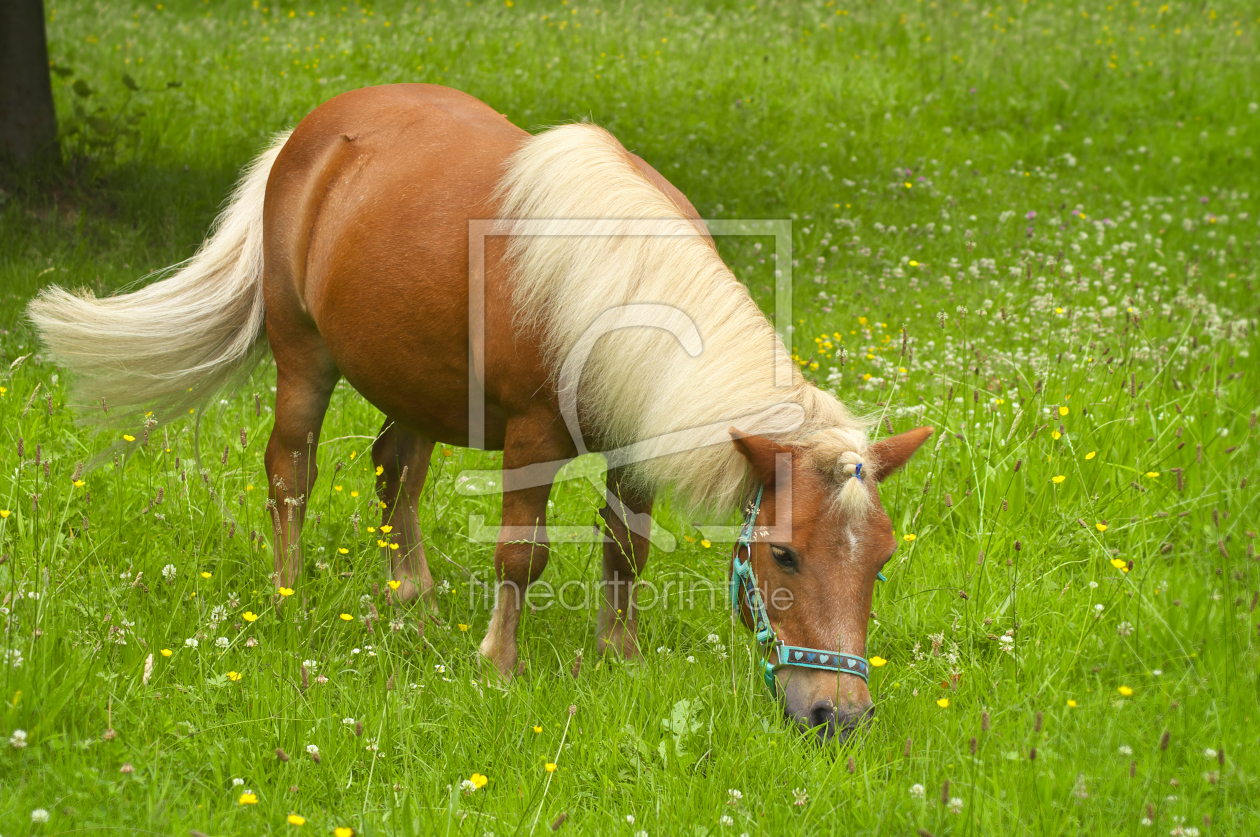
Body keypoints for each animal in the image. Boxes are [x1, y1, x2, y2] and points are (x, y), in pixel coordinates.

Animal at [29, 83, 932, 741]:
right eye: (782, 555)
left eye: (881, 560)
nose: (839, 716)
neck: (614, 286)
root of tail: (306, 135)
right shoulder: (534, 437)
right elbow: (520, 556)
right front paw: (499, 663)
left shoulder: (632, 444)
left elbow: (626, 550)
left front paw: (620, 654)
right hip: (303, 358)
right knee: (290, 472)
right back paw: (287, 598)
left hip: (414, 383)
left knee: (395, 471)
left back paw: (415, 598)